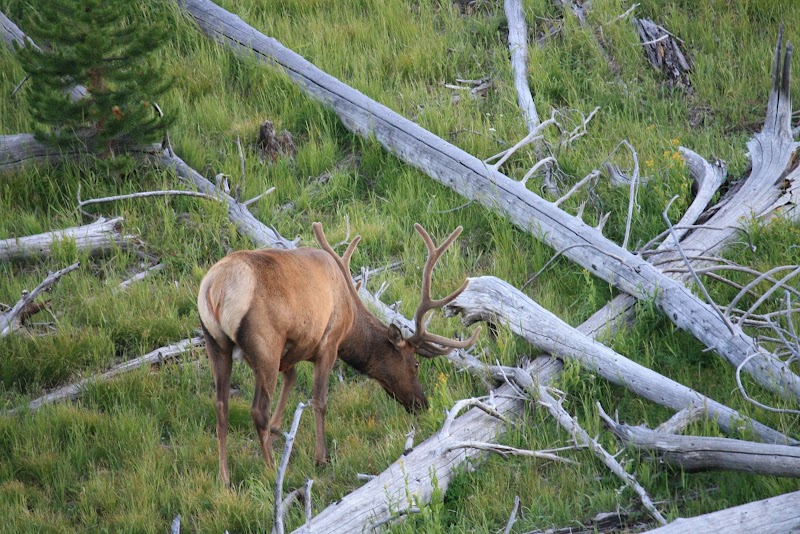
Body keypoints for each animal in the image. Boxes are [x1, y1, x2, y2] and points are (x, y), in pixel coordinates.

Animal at [197, 221, 480, 485]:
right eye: (415, 364)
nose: (422, 403)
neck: (350, 316)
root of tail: (217, 288)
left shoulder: (293, 347)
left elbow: (291, 377)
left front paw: (279, 428)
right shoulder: (328, 343)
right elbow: (319, 401)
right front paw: (321, 458)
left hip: (216, 343)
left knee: (221, 407)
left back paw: (224, 477)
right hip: (264, 343)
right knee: (257, 411)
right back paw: (272, 470)